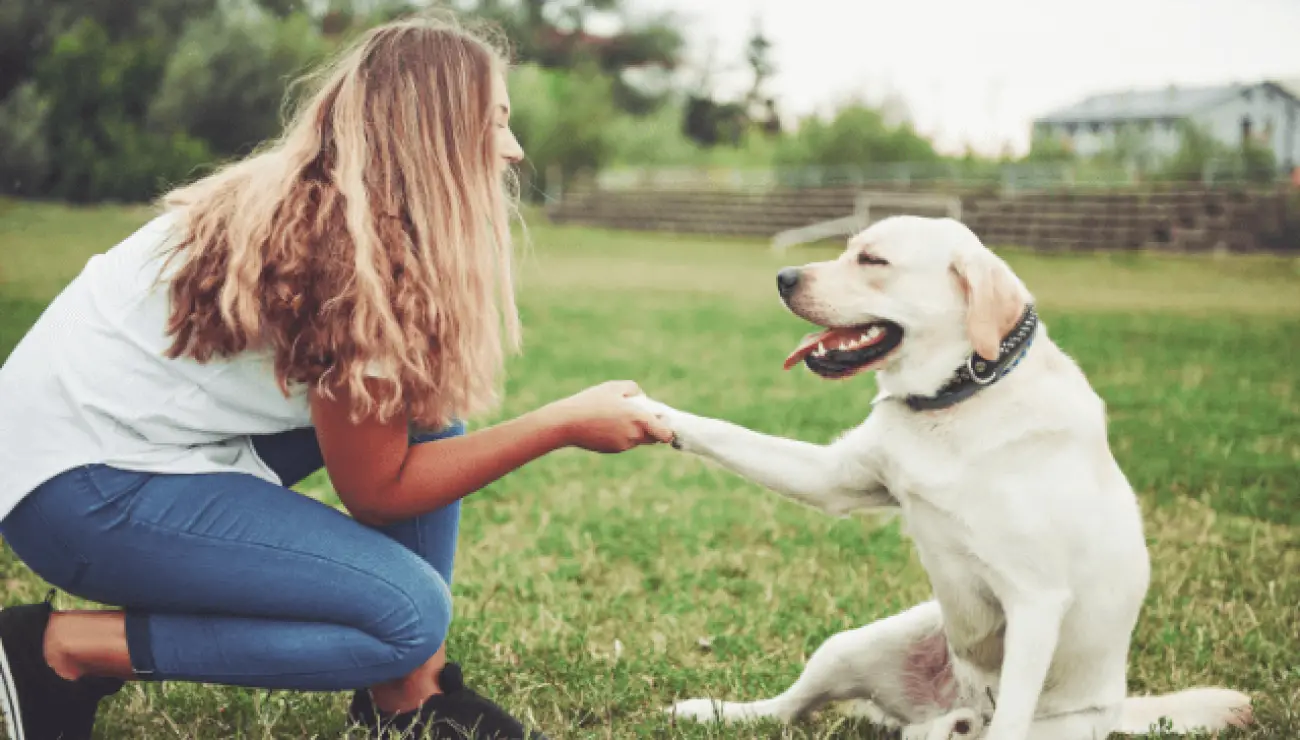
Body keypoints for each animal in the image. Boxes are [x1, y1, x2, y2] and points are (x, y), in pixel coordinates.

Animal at [634, 215, 1253, 738]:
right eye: (848, 249)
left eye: (873, 260)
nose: (783, 277)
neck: (960, 398)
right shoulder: (837, 477)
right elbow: (727, 433)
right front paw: (644, 411)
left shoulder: (1035, 601)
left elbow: (1011, 721)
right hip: (855, 644)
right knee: (791, 708)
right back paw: (715, 711)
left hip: (1056, 723)